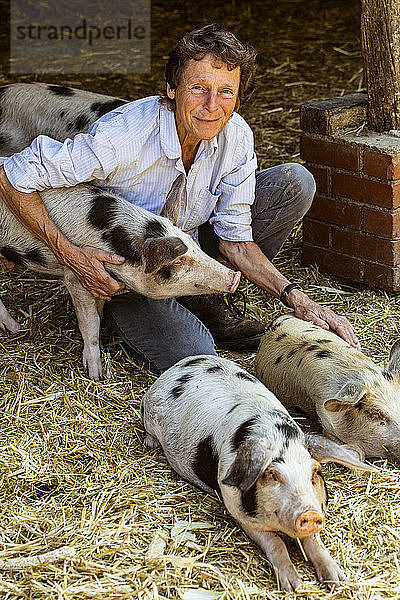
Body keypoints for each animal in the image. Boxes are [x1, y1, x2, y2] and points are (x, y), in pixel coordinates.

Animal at [0, 183, 239, 380]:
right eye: (179, 260)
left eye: (194, 244)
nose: (235, 277)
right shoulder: (77, 275)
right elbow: (90, 323)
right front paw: (96, 375)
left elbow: (98, 313)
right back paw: (17, 329)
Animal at [141, 354, 372, 592]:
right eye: (272, 474)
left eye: (314, 473)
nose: (309, 514)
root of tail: (180, 365)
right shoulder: (240, 514)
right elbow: (276, 544)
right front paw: (293, 586)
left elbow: (314, 543)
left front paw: (338, 581)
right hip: (149, 413)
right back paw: (151, 443)